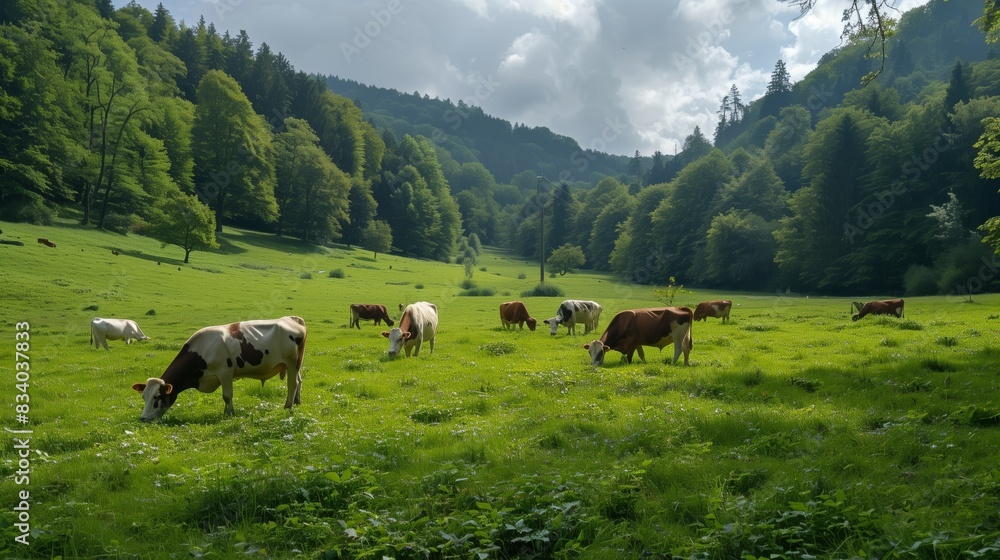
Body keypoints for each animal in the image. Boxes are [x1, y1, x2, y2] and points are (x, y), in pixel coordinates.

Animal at [131, 316, 307, 421]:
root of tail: (291, 319)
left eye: (157, 398)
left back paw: (288, 406)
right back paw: (297, 402)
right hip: (294, 365)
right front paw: (226, 412)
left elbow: (227, 396)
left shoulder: (225, 372)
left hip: (292, 362)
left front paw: (229, 414)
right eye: (144, 397)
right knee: (299, 381)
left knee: (292, 384)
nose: (143, 418)